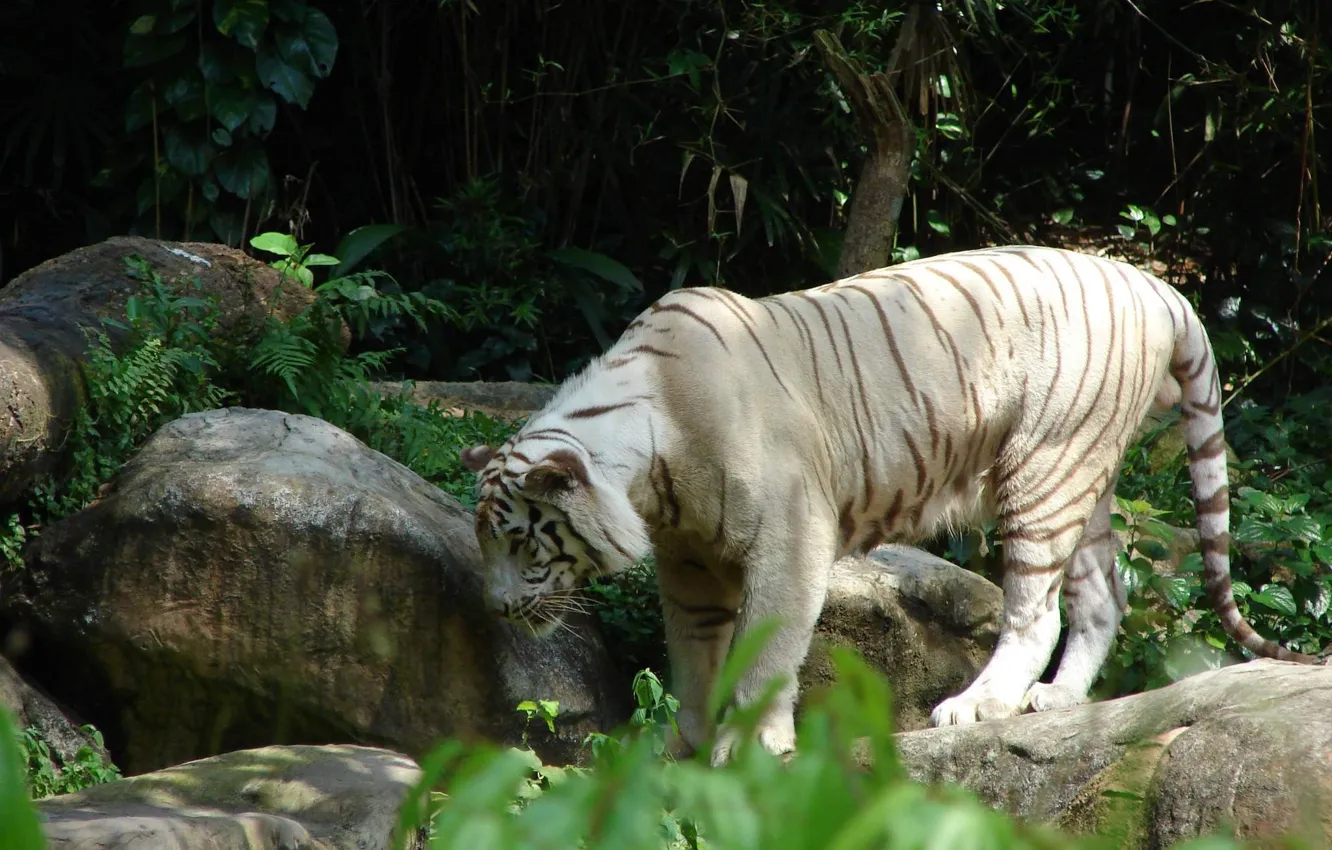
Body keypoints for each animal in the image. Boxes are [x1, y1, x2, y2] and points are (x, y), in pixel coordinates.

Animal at [462, 244, 1321, 766]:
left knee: (1036, 607)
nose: (497, 610)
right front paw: (688, 748)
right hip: (1084, 473)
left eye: (523, 543)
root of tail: (1155, 284)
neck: (650, 474)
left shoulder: (788, 541)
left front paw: (752, 746)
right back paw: (1054, 699)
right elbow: (697, 656)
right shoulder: (690, 565)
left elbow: (766, 652)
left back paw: (979, 706)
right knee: (1103, 593)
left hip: (1044, 467)